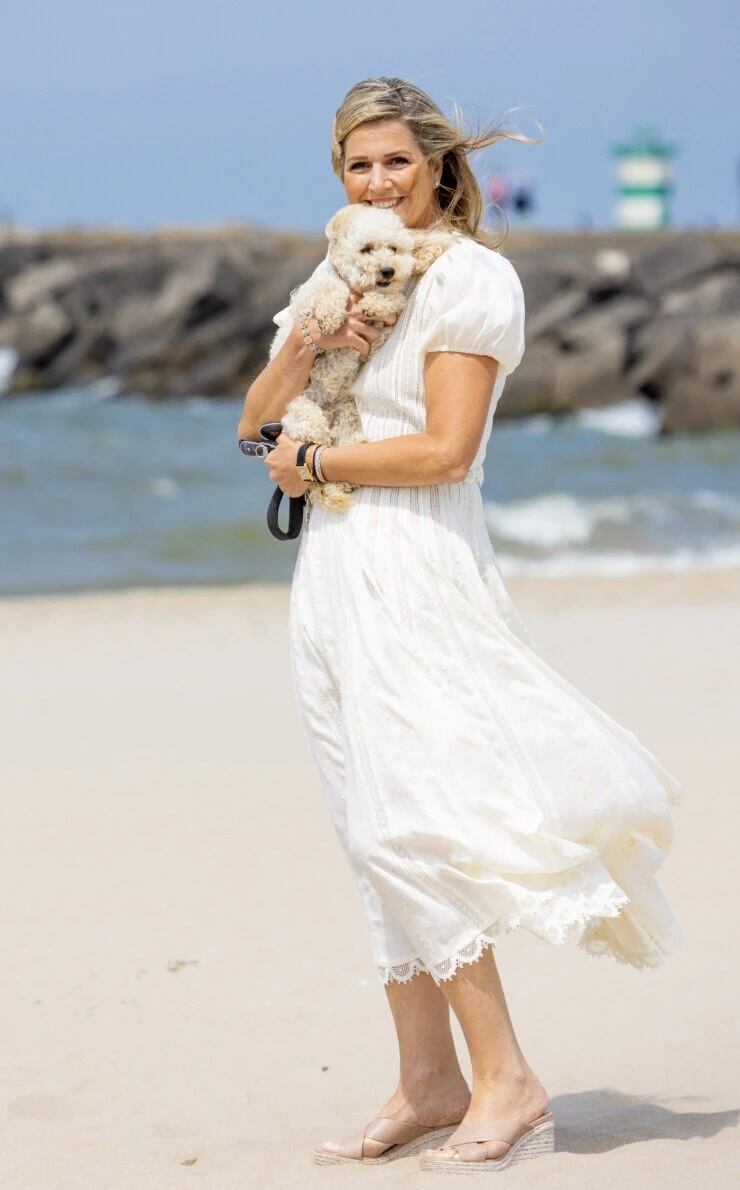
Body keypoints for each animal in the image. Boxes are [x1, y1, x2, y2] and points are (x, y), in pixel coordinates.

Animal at [278, 204, 452, 511]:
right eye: (366, 249)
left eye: (393, 249)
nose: (388, 270)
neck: (357, 289)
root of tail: (326, 409)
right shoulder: (308, 300)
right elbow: (328, 292)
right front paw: (330, 316)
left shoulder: (382, 324)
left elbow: (391, 300)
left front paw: (375, 304)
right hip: (302, 411)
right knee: (311, 437)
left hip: (347, 417)